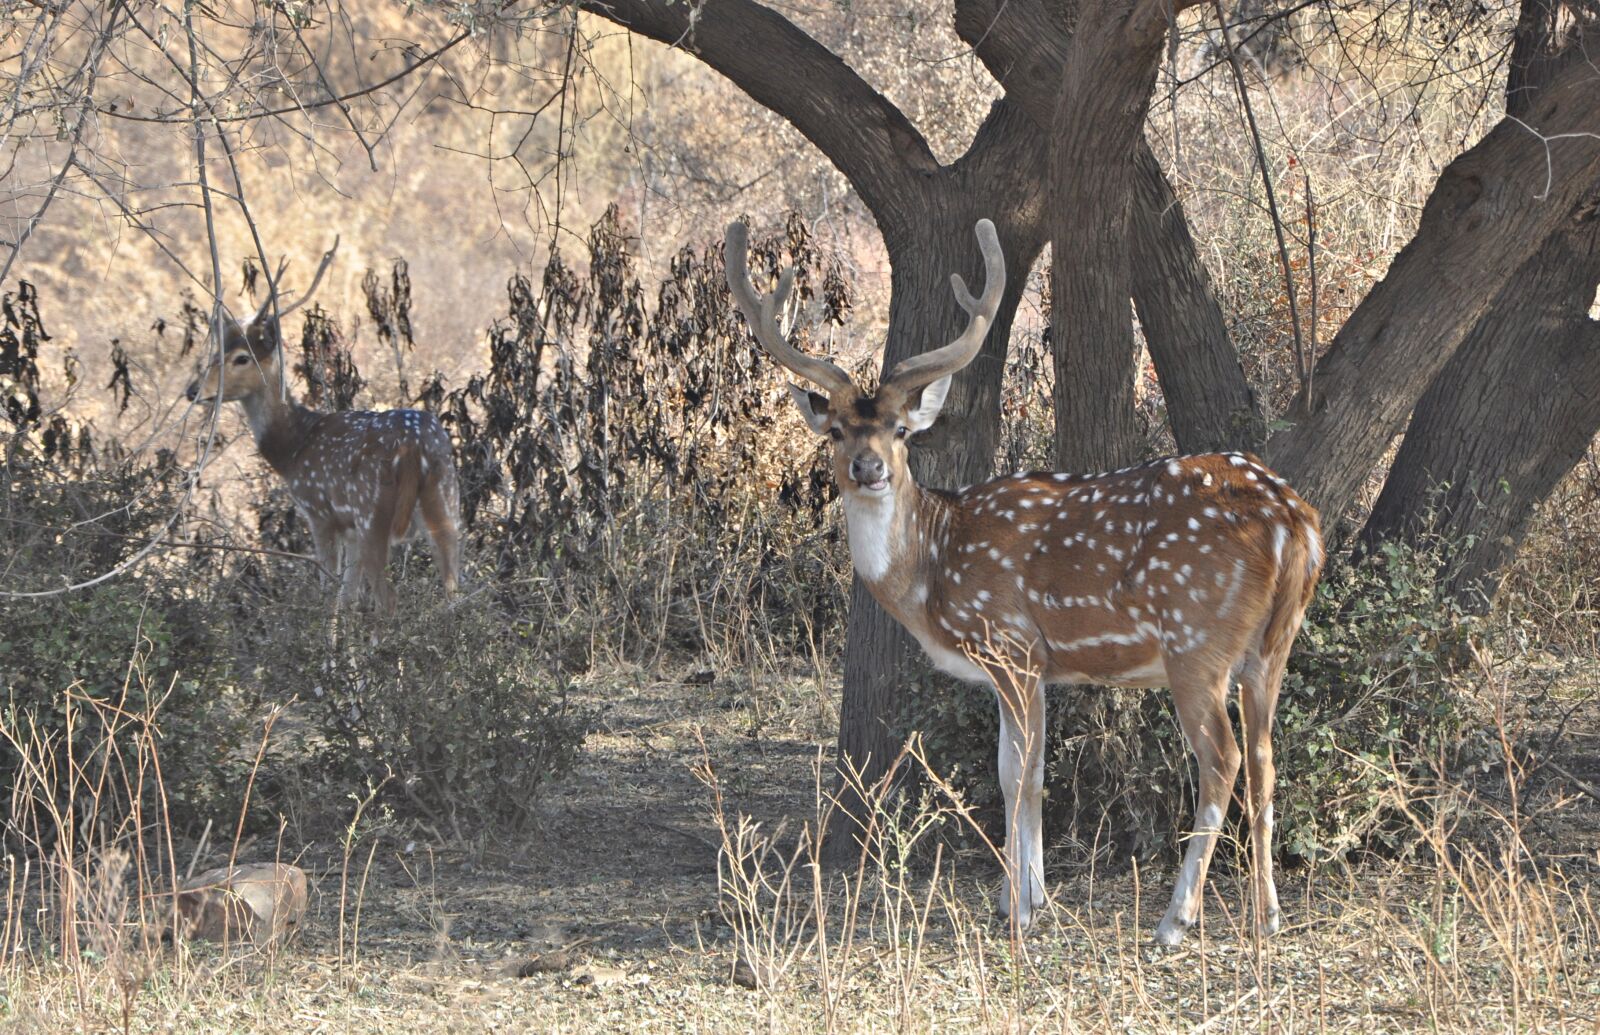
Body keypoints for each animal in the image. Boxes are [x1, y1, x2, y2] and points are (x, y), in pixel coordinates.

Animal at [185, 243, 461, 613]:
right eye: (216, 352)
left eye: (242, 358)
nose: (193, 390)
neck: (293, 447)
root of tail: (415, 448)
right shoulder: (349, 529)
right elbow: (347, 597)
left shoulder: (320, 513)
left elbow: (329, 594)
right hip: (446, 503)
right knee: (454, 590)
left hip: (372, 510)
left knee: (388, 599)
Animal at [724, 218, 1323, 942]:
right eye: (836, 430)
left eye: (900, 429)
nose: (869, 468)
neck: (932, 568)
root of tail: (1294, 519)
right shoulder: (1023, 663)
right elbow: (1017, 768)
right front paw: (1024, 895)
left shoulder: (1012, 643)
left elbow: (1022, 776)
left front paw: (1022, 906)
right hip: (1272, 644)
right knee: (1265, 757)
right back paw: (1268, 914)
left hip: (1195, 641)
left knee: (1224, 761)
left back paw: (1175, 918)